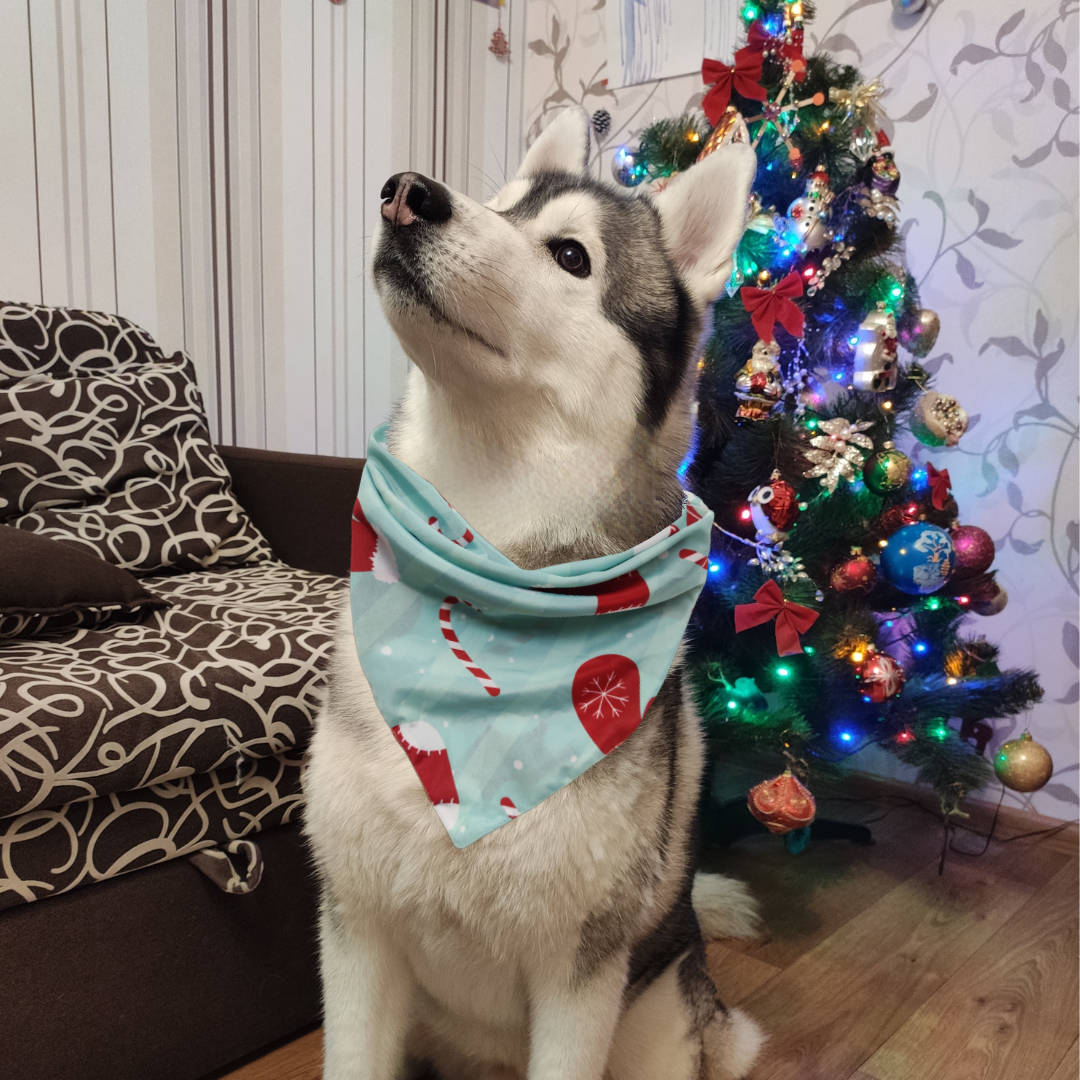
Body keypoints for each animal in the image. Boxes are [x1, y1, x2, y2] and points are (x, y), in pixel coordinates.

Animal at [304, 105, 760, 1075]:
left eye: (571, 256)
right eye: (498, 202)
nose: (408, 193)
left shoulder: (578, 982)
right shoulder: (358, 934)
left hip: (657, 1017)